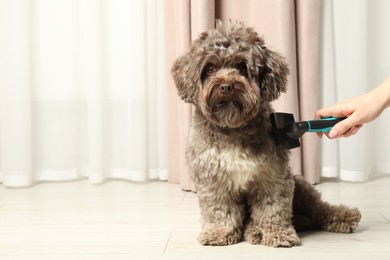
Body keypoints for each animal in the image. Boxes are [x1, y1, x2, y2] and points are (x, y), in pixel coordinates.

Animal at [172, 21, 362, 247]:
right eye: (209, 68)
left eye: (242, 67)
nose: (226, 86)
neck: (233, 128)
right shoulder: (212, 179)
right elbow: (220, 209)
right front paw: (219, 232)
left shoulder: (272, 175)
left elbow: (272, 208)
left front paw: (277, 233)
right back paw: (253, 230)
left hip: (301, 186)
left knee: (318, 209)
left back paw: (344, 216)